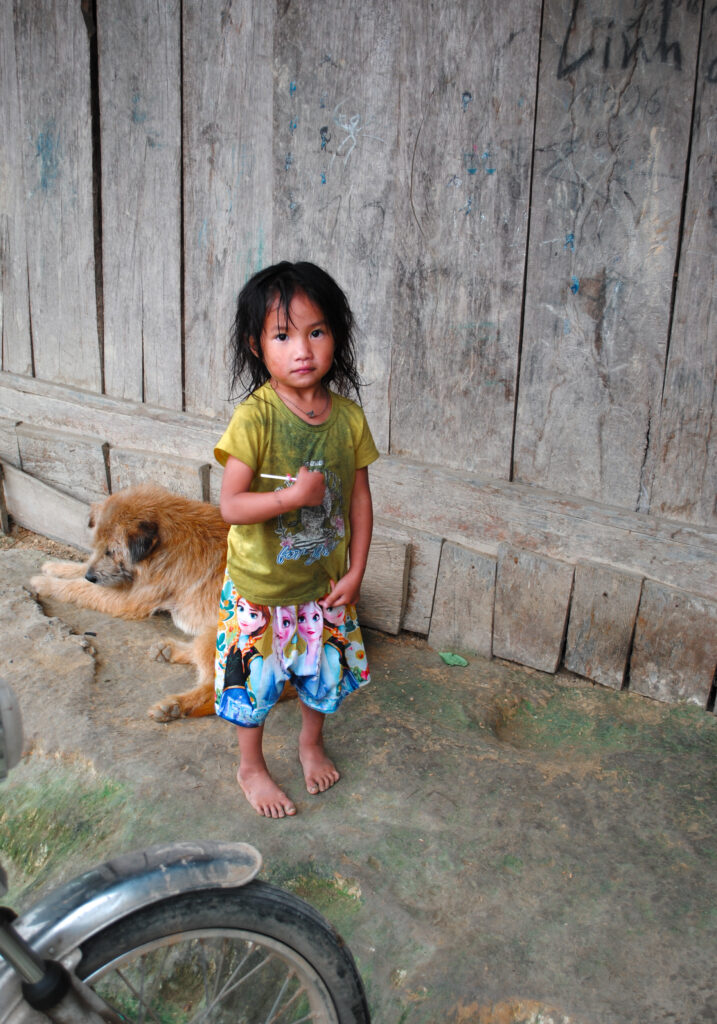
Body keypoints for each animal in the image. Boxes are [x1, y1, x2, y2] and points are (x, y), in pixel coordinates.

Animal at [28, 485, 268, 720]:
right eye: (97, 546)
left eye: (111, 552)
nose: (91, 576)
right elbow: (80, 570)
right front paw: (56, 567)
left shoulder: (129, 599)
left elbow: (80, 588)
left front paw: (45, 583)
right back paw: (168, 651)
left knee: (215, 690)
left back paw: (176, 705)